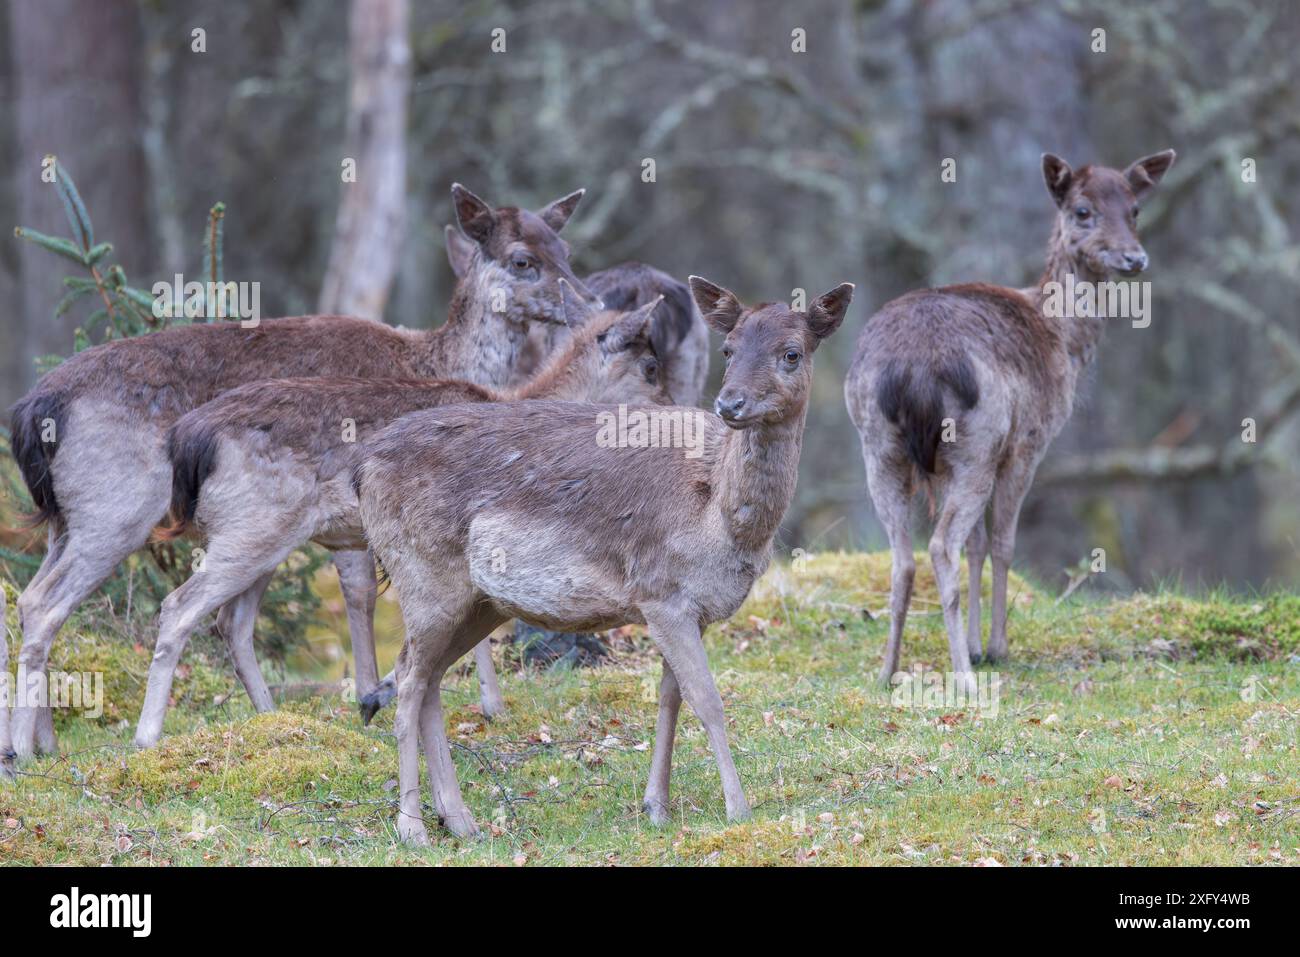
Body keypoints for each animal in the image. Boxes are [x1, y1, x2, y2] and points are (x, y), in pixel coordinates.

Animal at [2, 183, 593, 775]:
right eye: (522, 259)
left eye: (565, 248)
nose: (589, 303)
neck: (437, 363)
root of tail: (35, 411)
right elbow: (365, 597)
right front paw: (427, 701)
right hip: (119, 507)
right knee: (51, 605)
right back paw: (33, 746)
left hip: (67, 518)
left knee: (37, 600)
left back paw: (43, 741)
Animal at [131, 287, 669, 748]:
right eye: (651, 366)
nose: (674, 412)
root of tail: (189, 437)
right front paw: (489, 706)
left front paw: (383, 696)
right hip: (254, 526)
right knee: (179, 608)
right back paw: (147, 738)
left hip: (264, 535)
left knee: (233, 622)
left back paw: (272, 719)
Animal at [844, 150, 1175, 692]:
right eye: (1082, 210)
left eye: (1135, 209)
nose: (1134, 259)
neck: (1063, 338)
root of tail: (909, 369)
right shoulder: (1029, 441)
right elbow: (1001, 542)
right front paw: (995, 647)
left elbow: (978, 545)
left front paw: (978, 644)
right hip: (975, 440)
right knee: (941, 546)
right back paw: (963, 676)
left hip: (878, 445)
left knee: (903, 556)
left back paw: (887, 670)